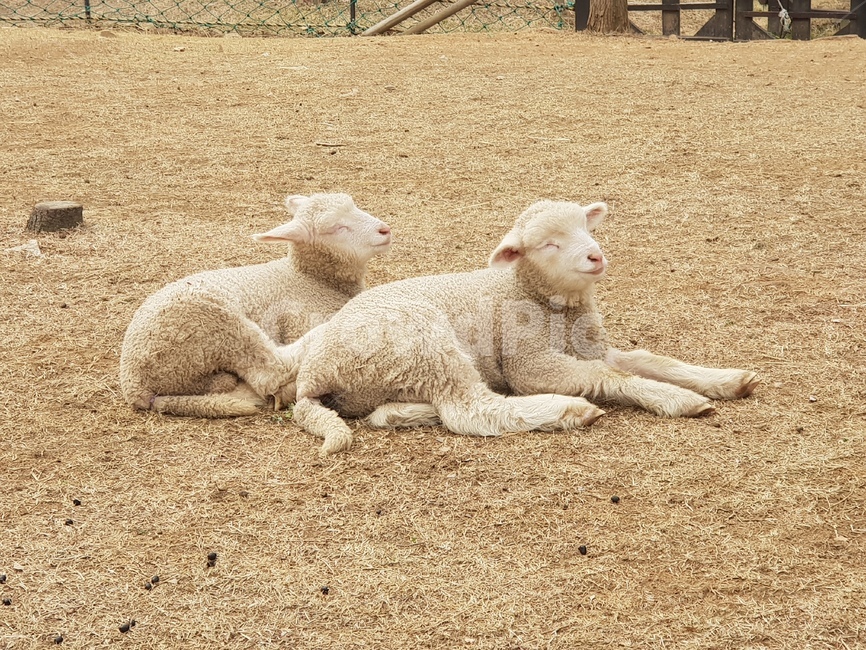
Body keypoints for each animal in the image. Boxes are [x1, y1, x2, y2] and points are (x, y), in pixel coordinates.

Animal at [119, 192, 392, 418]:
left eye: (354, 206)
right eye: (336, 227)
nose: (385, 230)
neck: (311, 279)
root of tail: (135, 385)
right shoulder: (299, 317)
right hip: (214, 322)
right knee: (270, 372)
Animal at [287, 198, 760, 456]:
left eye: (586, 227)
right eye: (549, 244)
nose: (595, 256)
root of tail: (313, 375)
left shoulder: (591, 346)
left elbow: (648, 359)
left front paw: (723, 379)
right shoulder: (530, 364)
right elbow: (609, 375)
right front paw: (678, 398)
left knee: (396, 412)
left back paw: (412, 412)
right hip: (424, 344)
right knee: (471, 410)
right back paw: (567, 410)